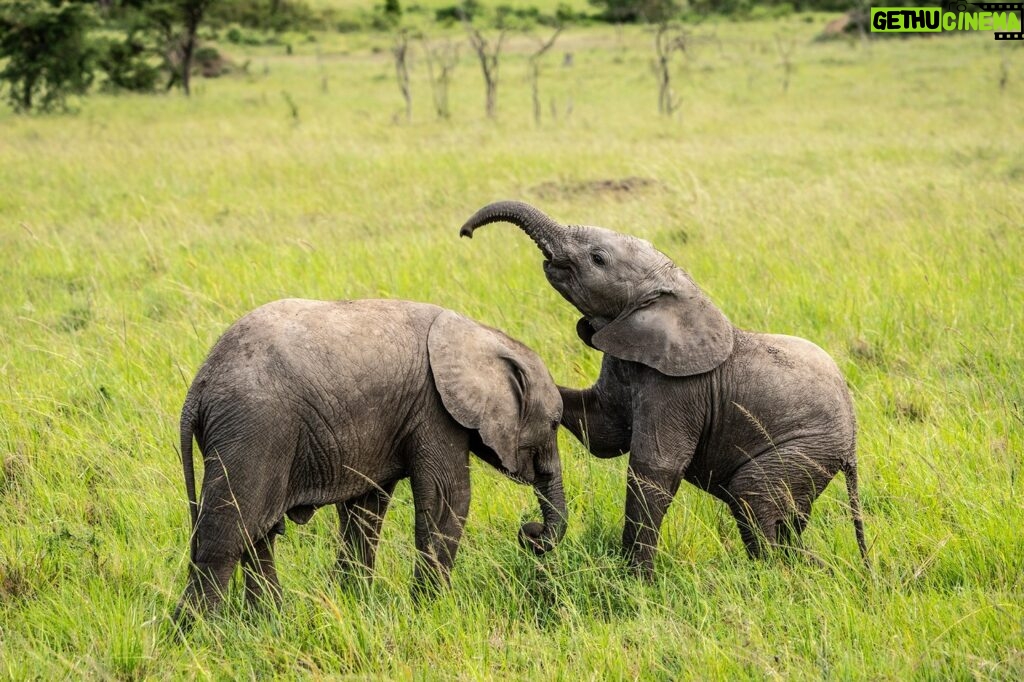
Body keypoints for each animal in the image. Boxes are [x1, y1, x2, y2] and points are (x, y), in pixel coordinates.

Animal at [172, 294, 565, 622]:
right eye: (555, 423)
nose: (530, 533)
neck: (484, 335)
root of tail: (199, 385)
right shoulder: (435, 410)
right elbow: (448, 500)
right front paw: (429, 611)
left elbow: (365, 510)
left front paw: (354, 602)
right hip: (255, 429)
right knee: (226, 538)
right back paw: (200, 635)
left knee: (259, 536)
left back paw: (268, 623)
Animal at [460, 200, 868, 573]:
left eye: (597, 258)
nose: (465, 233)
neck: (671, 291)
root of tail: (852, 441)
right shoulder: (627, 357)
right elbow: (602, 430)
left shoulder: (679, 388)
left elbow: (652, 465)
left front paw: (634, 578)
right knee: (787, 517)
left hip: (803, 448)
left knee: (752, 499)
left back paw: (774, 572)